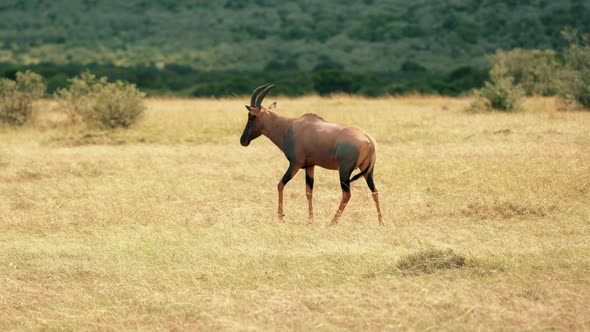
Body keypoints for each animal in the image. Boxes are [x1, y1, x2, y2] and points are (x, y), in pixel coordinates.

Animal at [240, 83, 384, 226]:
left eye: (251, 116)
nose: (243, 140)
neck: (290, 127)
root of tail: (369, 140)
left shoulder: (295, 164)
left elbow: (280, 184)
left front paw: (281, 217)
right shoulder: (310, 166)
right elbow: (309, 192)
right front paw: (310, 220)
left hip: (344, 171)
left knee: (347, 194)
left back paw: (332, 222)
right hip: (367, 171)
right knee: (374, 191)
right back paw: (381, 222)